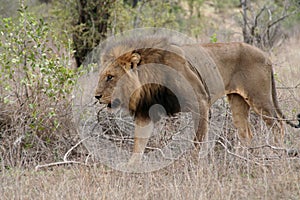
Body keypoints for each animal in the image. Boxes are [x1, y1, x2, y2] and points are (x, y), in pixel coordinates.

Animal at [95, 36, 300, 164]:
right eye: (103, 76)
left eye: (110, 77)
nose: (96, 96)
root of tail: (266, 55)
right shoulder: (145, 112)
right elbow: (139, 144)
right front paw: (130, 168)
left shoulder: (200, 103)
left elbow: (197, 141)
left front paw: (193, 165)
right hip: (237, 101)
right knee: (246, 133)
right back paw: (243, 159)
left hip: (259, 98)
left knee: (278, 125)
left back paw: (276, 153)